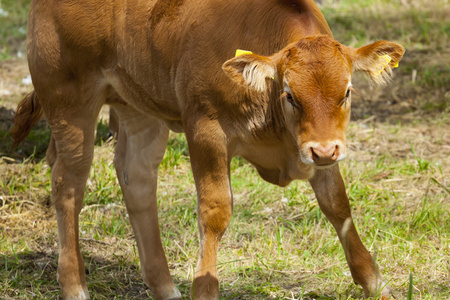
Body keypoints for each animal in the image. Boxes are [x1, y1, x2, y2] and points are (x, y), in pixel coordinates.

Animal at [11, 0, 404, 298]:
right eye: (290, 95)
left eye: (347, 92)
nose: (324, 152)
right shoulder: (205, 127)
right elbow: (215, 212)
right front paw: (205, 287)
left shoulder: (318, 146)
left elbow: (337, 203)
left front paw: (373, 281)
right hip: (69, 100)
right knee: (68, 185)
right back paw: (75, 286)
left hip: (137, 104)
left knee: (136, 177)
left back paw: (165, 288)